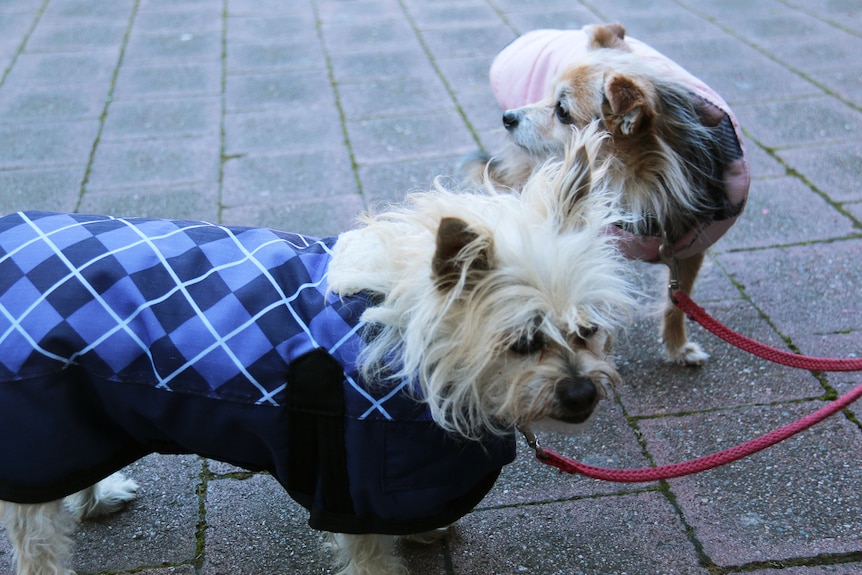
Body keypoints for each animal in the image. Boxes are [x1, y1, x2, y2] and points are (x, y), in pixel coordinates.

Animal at [466, 23, 748, 364]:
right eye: (546, 93)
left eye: (562, 110)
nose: (508, 117)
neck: (639, 179)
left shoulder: (689, 248)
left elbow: (677, 302)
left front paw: (677, 347)